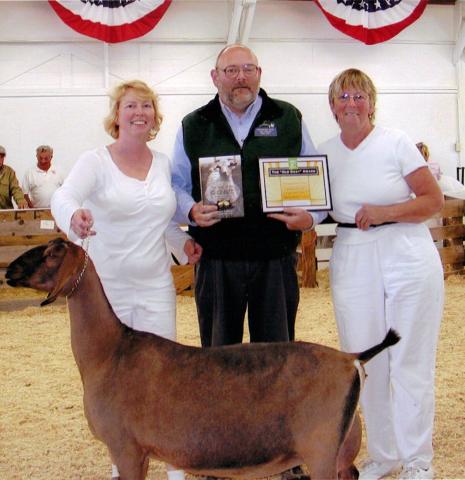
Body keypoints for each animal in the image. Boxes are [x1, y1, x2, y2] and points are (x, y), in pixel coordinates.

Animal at [5, 239, 398, 480]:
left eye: (53, 252)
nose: (9, 270)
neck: (110, 352)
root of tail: (351, 359)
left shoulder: (125, 447)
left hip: (321, 450)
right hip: (344, 446)